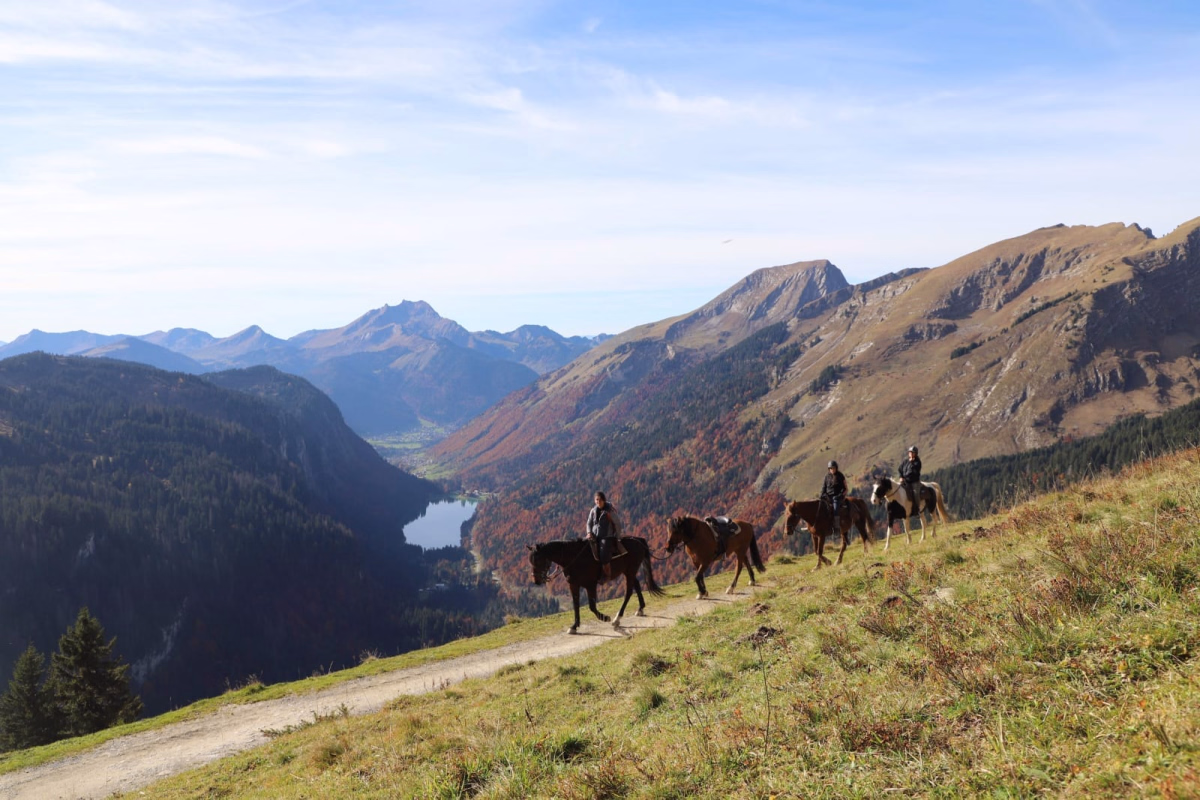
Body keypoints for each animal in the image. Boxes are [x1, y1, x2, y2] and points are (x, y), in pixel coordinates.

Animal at [528, 537, 666, 634]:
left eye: (538, 560)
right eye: (531, 561)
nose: (536, 580)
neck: (574, 558)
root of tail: (638, 540)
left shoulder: (590, 585)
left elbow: (592, 606)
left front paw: (605, 617)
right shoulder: (573, 585)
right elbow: (576, 605)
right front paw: (574, 626)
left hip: (630, 570)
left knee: (628, 592)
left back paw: (617, 619)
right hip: (628, 571)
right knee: (636, 585)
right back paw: (640, 608)